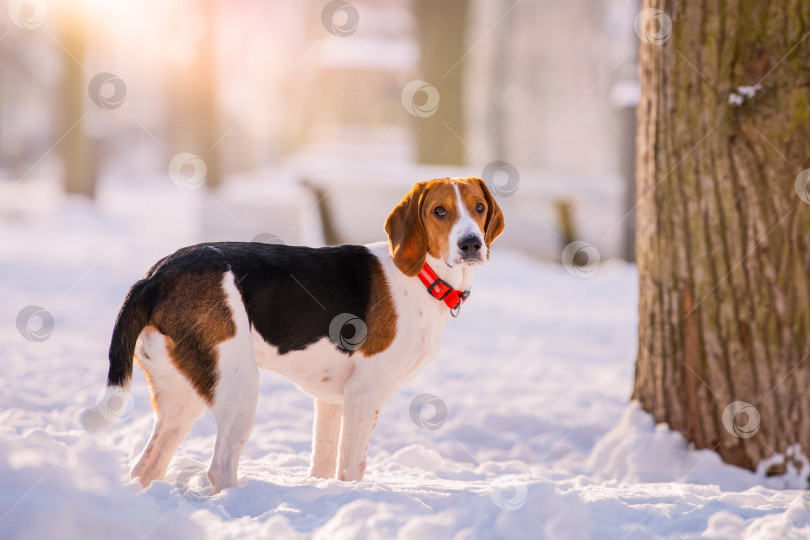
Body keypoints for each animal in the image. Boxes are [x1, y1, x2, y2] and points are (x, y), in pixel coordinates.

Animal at [80, 176, 498, 490]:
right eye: (439, 211)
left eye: (479, 207)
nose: (471, 244)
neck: (425, 278)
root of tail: (155, 276)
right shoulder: (364, 394)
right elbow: (352, 470)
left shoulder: (332, 401)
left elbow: (324, 464)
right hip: (239, 386)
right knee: (219, 469)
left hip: (183, 395)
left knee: (147, 467)